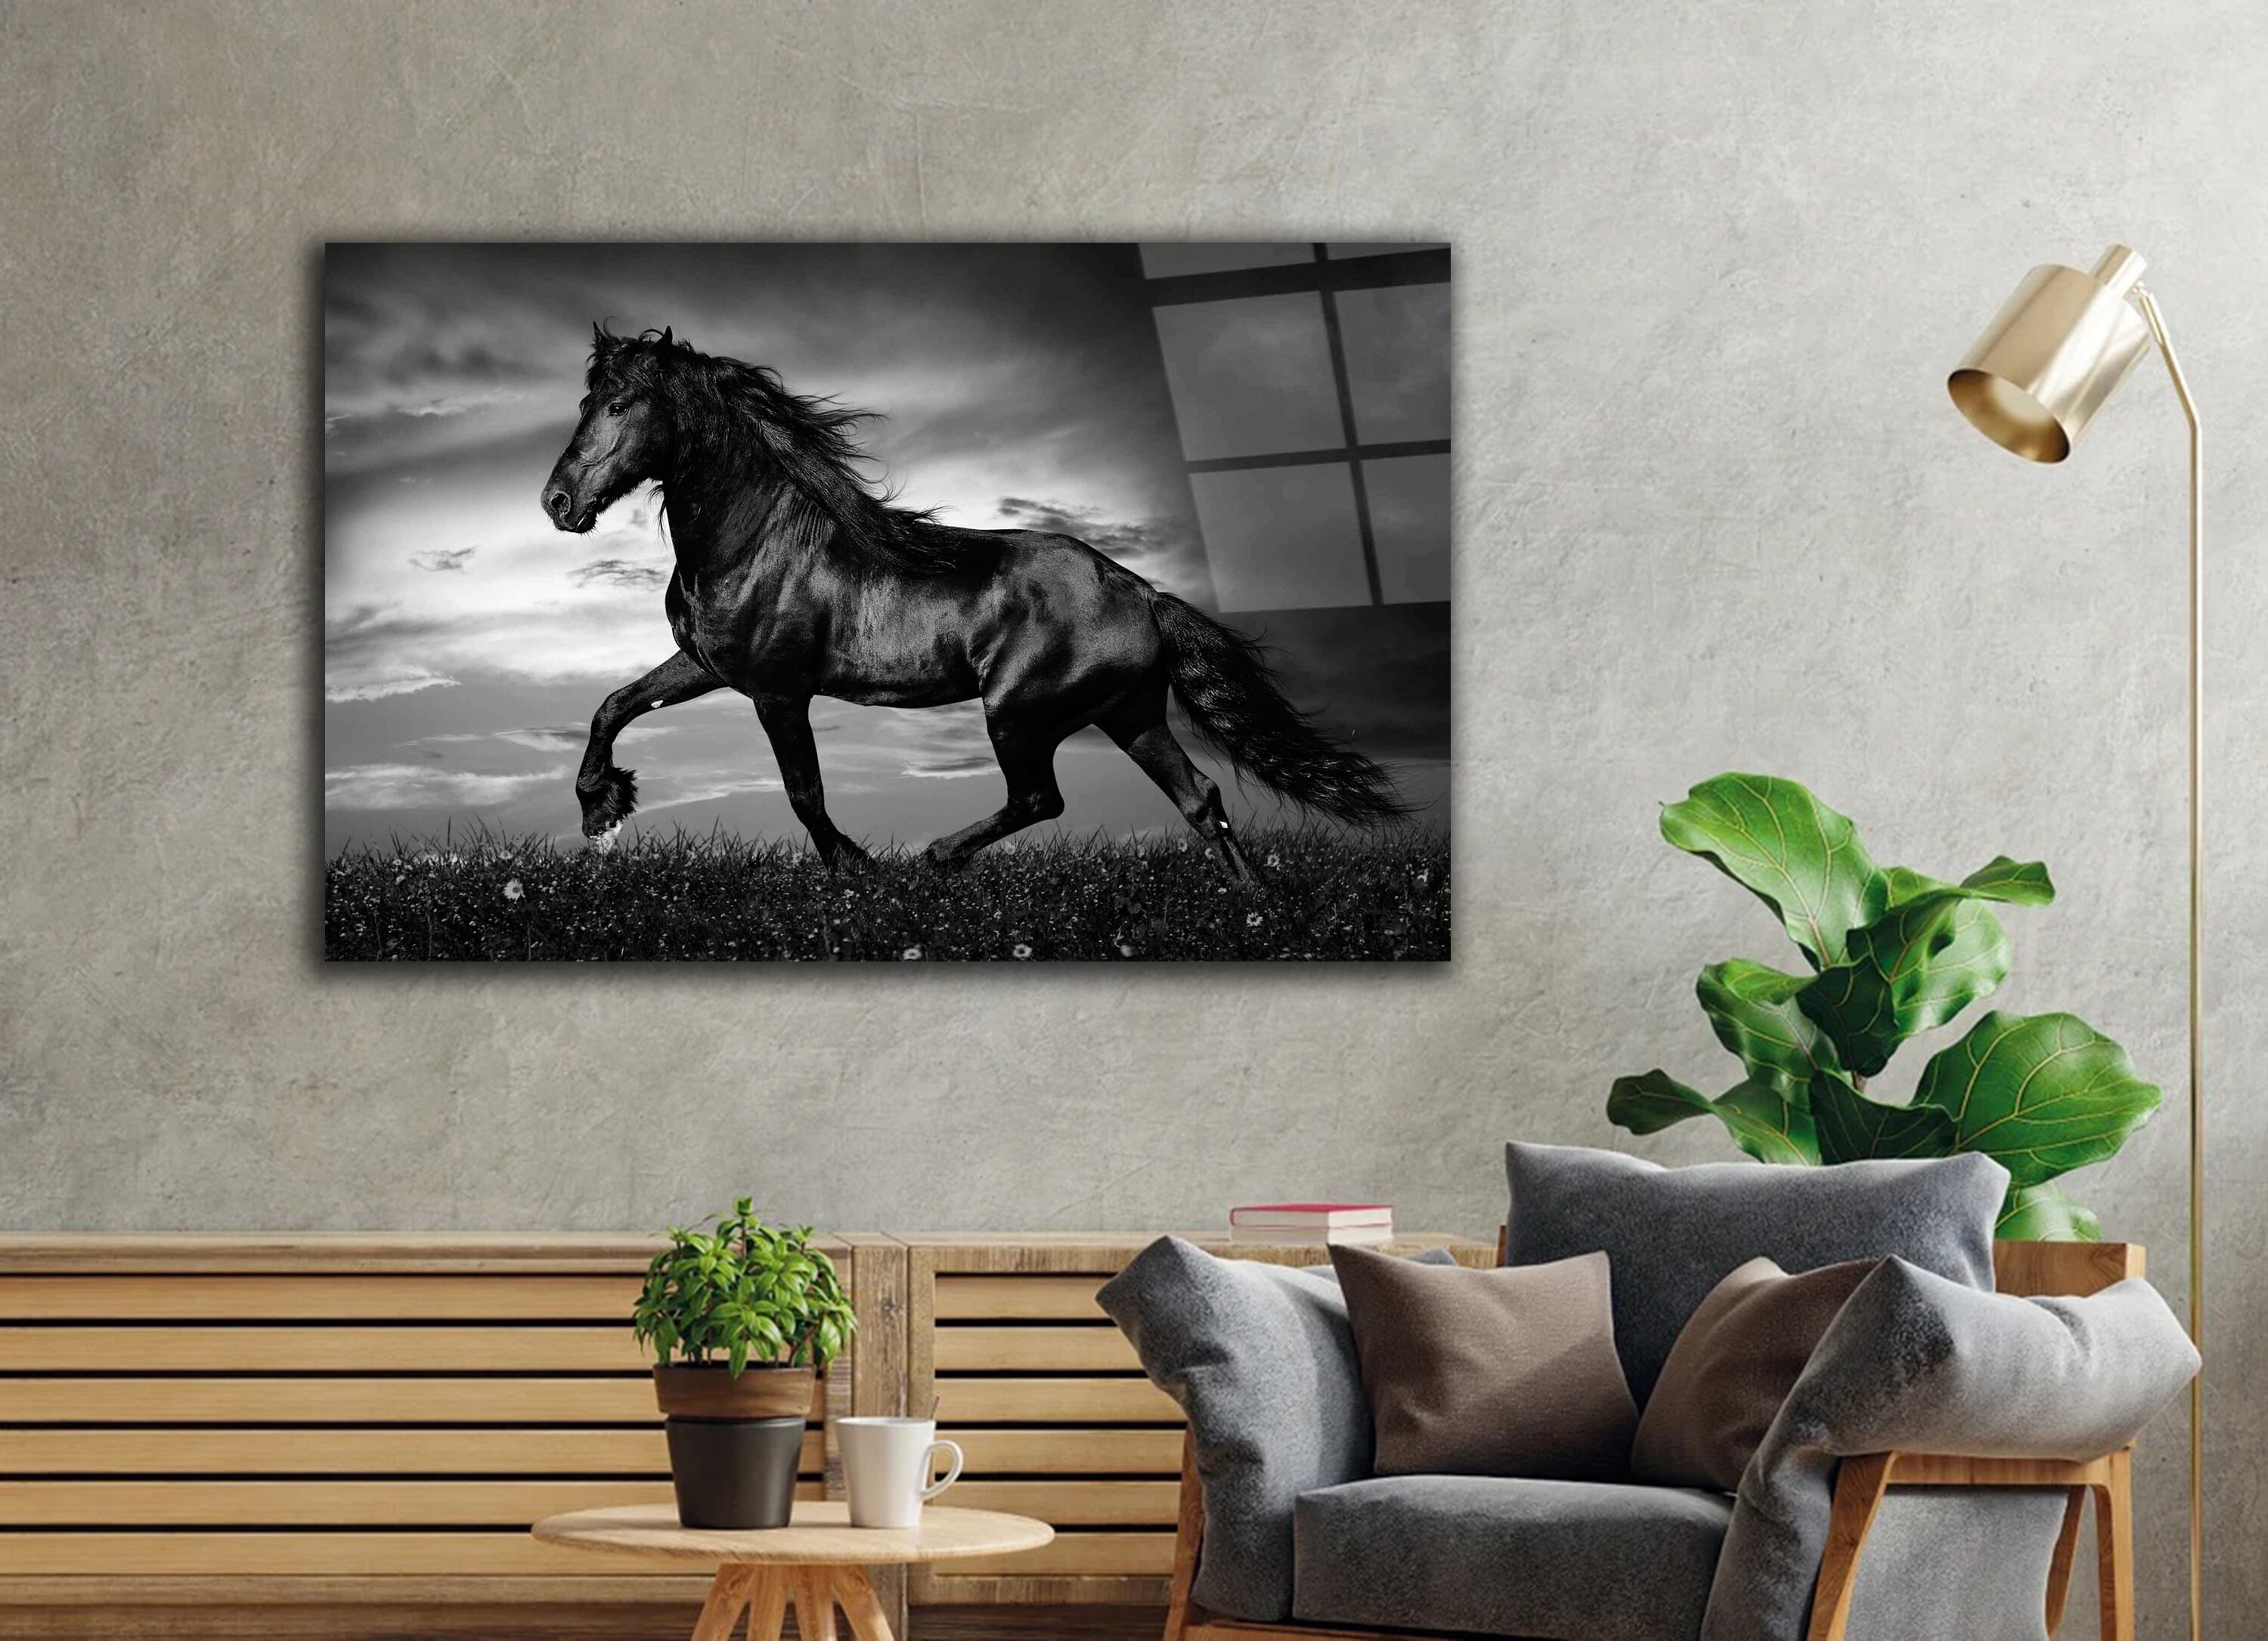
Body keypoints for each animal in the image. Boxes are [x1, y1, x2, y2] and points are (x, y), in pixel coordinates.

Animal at [539, 326, 1406, 878]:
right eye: (586, 403)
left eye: (621, 404)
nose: (557, 502)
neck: (755, 541)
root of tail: (1142, 593)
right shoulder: (709, 665)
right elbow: (613, 705)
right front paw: (601, 810)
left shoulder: (778, 691)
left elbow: (804, 794)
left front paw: (858, 872)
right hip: (1130, 714)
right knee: (1200, 800)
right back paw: (1256, 910)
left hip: (1018, 713)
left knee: (1041, 798)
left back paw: (933, 860)